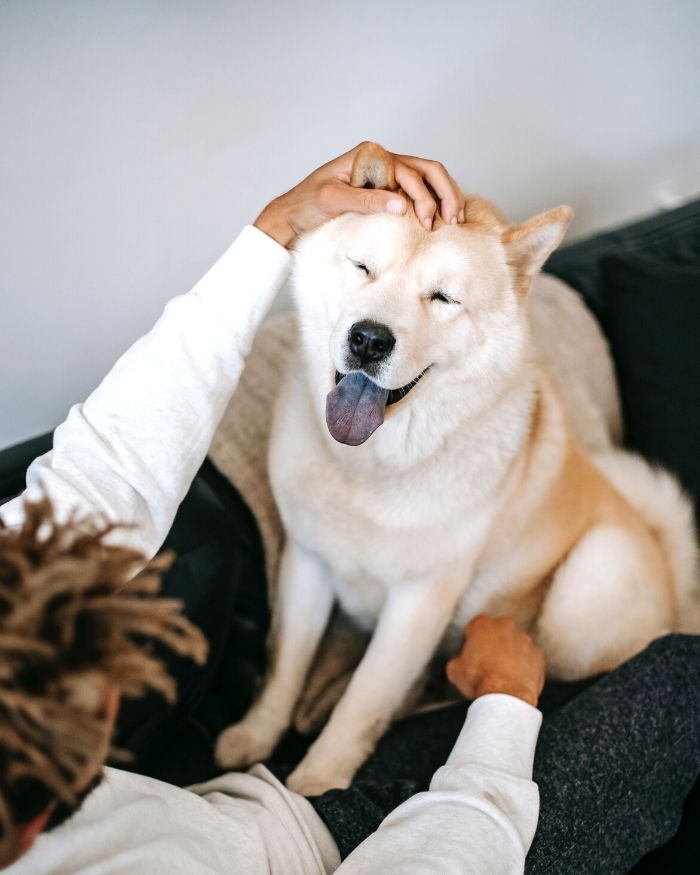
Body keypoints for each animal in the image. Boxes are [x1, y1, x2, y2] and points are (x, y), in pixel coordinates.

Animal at [216, 142, 696, 792]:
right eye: (363, 268)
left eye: (442, 298)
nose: (369, 339)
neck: (373, 467)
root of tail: (675, 580)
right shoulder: (307, 561)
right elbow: (284, 665)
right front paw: (257, 736)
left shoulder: (419, 599)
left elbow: (363, 698)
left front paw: (316, 782)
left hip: (584, 590)